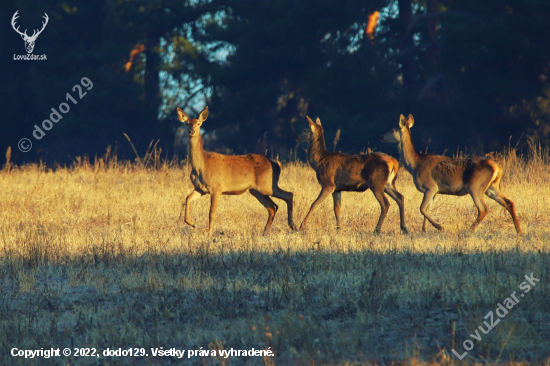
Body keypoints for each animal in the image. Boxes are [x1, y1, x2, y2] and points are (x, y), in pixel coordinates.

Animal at [178, 106, 298, 234]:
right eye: (187, 123)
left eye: (199, 123)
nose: (192, 131)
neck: (202, 165)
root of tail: (276, 164)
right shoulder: (200, 188)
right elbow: (187, 198)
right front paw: (192, 223)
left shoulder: (217, 188)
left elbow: (211, 213)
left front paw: (209, 234)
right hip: (256, 190)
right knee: (272, 207)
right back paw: (266, 231)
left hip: (266, 185)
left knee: (288, 195)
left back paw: (292, 225)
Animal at [382, 114, 524, 234]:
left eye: (392, 130)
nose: (381, 137)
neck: (415, 165)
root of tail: (498, 167)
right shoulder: (434, 191)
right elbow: (427, 209)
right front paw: (424, 229)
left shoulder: (430, 187)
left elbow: (422, 208)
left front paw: (439, 226)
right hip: (491, 187)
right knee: (509, 203)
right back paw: (519, 230)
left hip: (475, 186)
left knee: (483, 209)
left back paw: (469, 229)